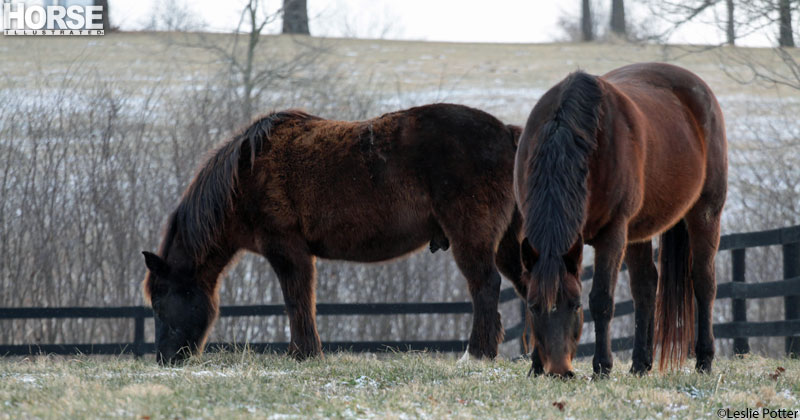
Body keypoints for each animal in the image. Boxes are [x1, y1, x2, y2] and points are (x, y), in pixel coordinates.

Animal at [139, 102, 524, 364]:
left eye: (160, 302)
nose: (165, 358)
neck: (245, 176)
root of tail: (507, 133)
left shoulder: (287, 250)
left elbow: (297, 299)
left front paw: (304, 353)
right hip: (506, 246)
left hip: (471, 238)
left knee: (485, 286)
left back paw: (477, 353)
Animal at [516, 62, 728, 378]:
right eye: (532, 307)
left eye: (575, 305)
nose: (559, 371)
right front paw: (536, 366)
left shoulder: (612, 233)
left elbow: (602, 300)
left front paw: (602, 367)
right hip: (638, 231)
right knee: (646, 286)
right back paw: (640, 363)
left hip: (706, 213)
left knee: (703, 282)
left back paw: (704, 360)